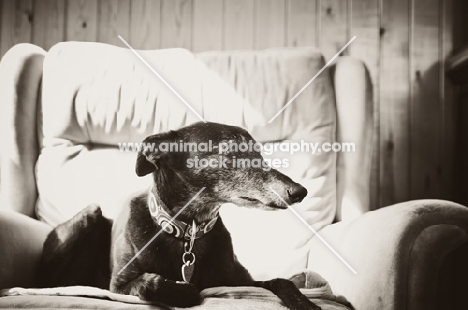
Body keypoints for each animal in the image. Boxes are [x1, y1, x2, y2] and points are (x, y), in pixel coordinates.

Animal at [37, 122, 322, 308]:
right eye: (231, 153)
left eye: (259, 154)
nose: (300, 191)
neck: (188, 231)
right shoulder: (118, 284)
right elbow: (149, 283)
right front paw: (185, 293)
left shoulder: (239, 281)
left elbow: (282, 281)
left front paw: (303, 302)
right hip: (89, 215)